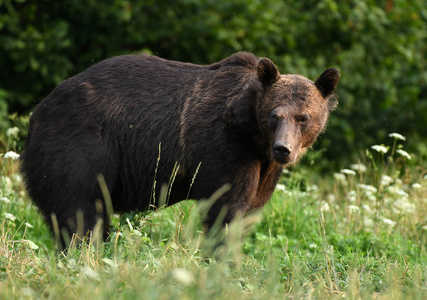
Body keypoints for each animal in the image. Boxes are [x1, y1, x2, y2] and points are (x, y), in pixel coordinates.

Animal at [20, 52, 342, 248]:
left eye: (303, 117)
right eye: (275, 115)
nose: (283, 149)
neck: (252, 134)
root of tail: (37, 113)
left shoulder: (263, 167)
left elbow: (250, 209)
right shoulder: (223, 147)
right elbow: (225, 208)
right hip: (79, 148)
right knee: (80, 211)